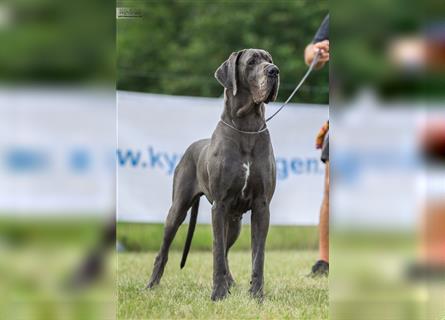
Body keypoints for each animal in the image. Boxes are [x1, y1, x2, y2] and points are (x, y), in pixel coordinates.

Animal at [147, 48, 278, 302]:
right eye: (251, 62)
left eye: (269, 59)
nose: (274, 71)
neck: (246, 127)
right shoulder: (220, 204)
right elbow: (217, 252)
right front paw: (218, 293)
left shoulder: (261, 206)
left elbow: (258, 255)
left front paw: (257, 295)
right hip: (178, 209)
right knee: (165, 250)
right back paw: (151, 285)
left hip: (234, 223)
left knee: (226, 250)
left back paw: (231, 282)